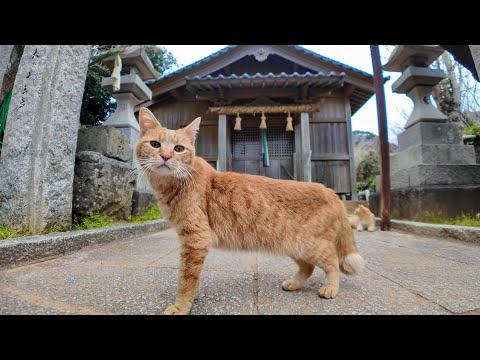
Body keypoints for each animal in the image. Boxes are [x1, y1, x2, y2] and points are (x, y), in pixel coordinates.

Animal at [135, 107, 364, 316]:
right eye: (155, 144)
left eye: (179, 148)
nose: (165, 156)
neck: (173, 184)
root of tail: (331, 192)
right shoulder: (193, 243)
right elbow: (193, 275)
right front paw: (193, 296)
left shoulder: (196, 238)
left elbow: (186, 278)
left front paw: (181, 306)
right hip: (294, 245)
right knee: (308, 267)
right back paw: (293, 284)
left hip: (310, 245)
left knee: (332, 261)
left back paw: (330, 288)